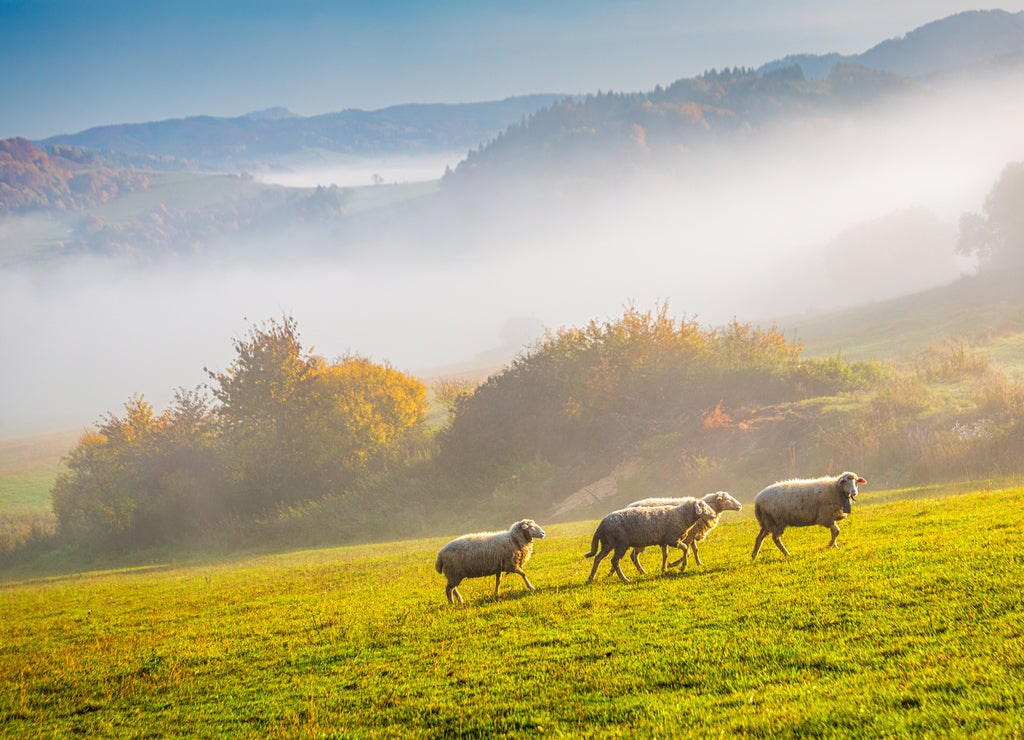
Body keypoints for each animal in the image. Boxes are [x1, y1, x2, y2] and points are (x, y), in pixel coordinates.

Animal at [584, 500, 718, 584]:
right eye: (703, 506)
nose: (714, 515)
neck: (681, 515)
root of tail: (602, 524)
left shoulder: (664, 541)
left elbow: (666, 554)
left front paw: (664, 569)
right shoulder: (672, 539)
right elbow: (686, 549)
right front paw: (682, 566)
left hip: (607, 543)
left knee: (597, 558)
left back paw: (590, 579)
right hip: (620, 544)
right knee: (614, 561)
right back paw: (625, 579)